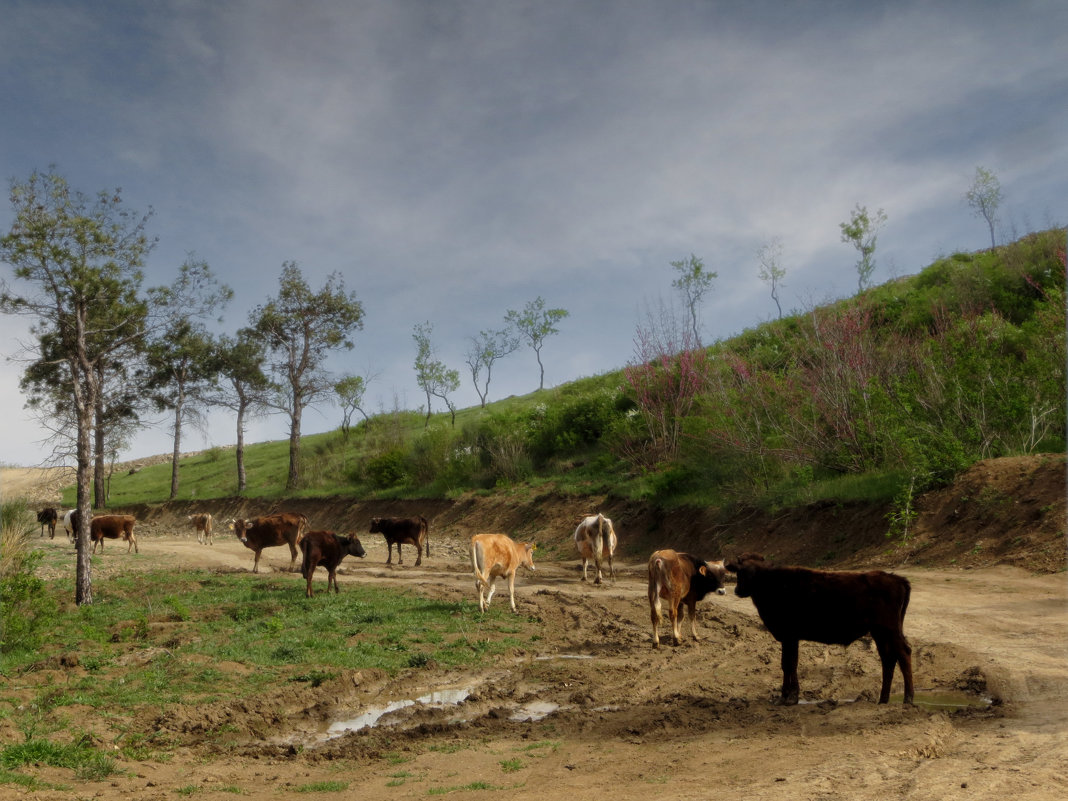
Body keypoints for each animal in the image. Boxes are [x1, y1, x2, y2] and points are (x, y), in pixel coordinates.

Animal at [726, 555, 918, 704]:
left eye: (743, 573)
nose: (737, 590)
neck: (772, 584)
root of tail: (896, 579)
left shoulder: (789, 635)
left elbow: (789, 664)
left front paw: (789, 697)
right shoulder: (790, 637)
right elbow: (788, 664)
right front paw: (787, 696)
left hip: (890, 629)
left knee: (903, 653)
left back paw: (908, 698)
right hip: (880, 632)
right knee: (888, 659)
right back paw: (883, 699)